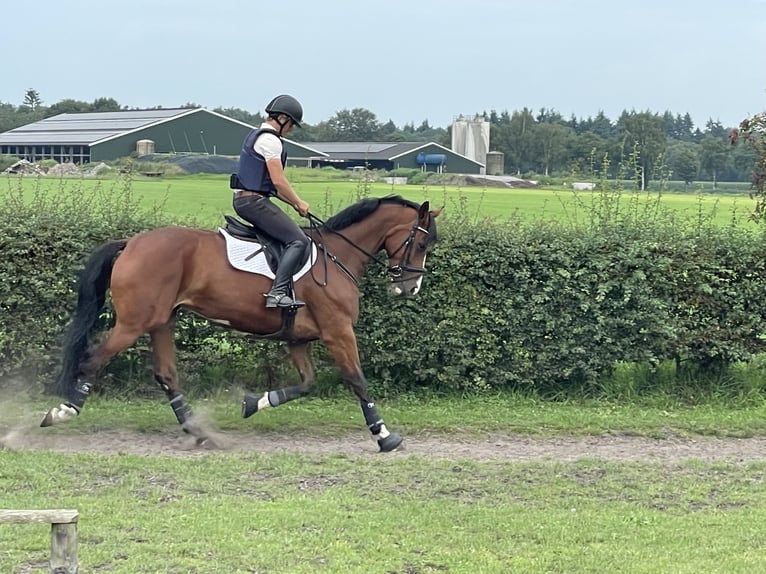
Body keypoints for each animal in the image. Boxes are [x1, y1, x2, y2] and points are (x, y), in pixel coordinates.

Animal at [40, 196, 444, 452]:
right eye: (422, 244)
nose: (410, 288)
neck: (338, 255)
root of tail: (131, 243)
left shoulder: (299, 340)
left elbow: (306, 384)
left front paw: (254, 402)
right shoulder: (338, 332)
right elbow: (357, 380)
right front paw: (384, 435)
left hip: (161, 322)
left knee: (166, 375)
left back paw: (197, 430)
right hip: (133, 324)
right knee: (93, 359)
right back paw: (61, 412)